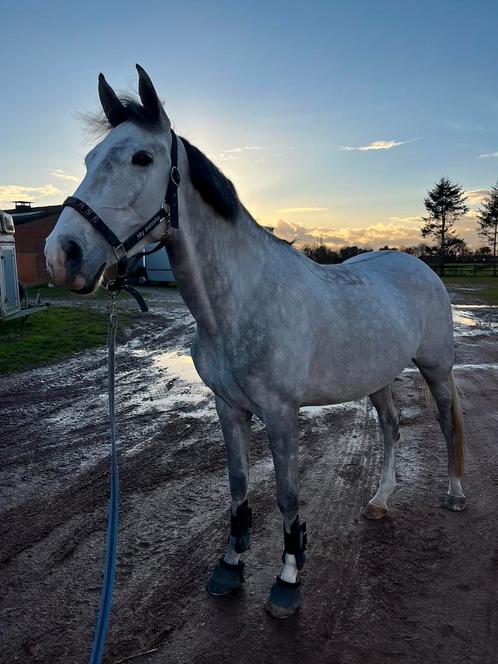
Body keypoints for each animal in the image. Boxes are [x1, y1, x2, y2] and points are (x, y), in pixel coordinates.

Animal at [44, 65, 464, 620]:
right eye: (90, 159)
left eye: (142, 158)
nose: (62, 255)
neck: (240, 302)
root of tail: (420, 267)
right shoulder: (229, 408)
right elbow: (239, 487)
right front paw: (230, 566)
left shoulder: (282, 414)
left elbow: (286, 496)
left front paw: (287, 579)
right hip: (377, 376)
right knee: (392, 427)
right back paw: (379, 501)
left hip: (436, 368)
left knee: (446, 421)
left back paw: (455, 494)